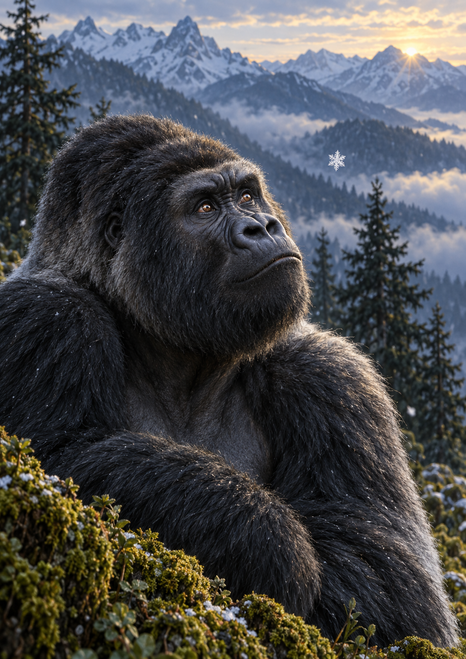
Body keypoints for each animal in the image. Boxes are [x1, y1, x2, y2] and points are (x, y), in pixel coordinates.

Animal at [0, 115, 458, 647]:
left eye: (246, 195)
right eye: (204, 207)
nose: (262, 225)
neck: (184, 364)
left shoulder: (330, 380)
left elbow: (391, 577)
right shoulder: (46, 319)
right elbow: (57, 456)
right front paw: (269, 539)